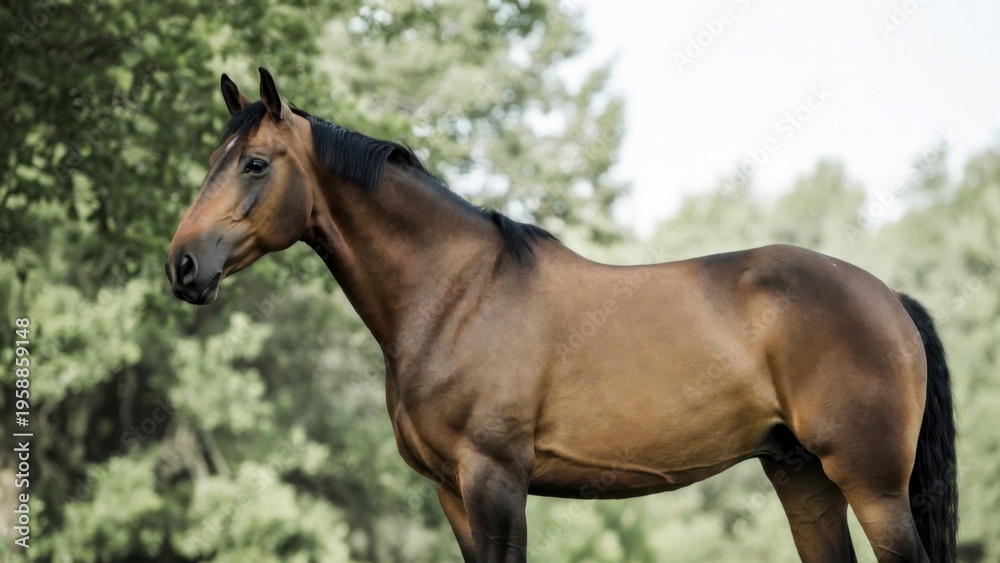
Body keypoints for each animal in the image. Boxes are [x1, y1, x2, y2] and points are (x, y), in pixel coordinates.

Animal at [166, 68, 956, 562]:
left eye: (256, 163)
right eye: (213, 159)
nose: (183, 265)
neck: (456, 293)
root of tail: (888, 298)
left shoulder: (495, 480)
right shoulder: (452, 492)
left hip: (872, 484)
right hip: (802, 477)